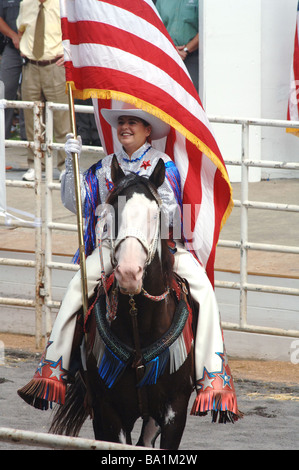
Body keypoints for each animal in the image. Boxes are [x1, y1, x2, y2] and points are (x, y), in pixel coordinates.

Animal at [50, 156, 196, 450]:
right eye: (112, 213)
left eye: (155, 215)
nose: (129, 272)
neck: (140, 325)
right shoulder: (108, 411)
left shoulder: (175, 410)